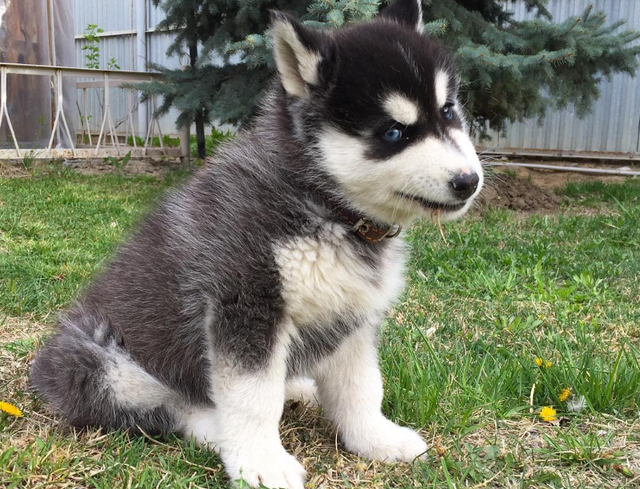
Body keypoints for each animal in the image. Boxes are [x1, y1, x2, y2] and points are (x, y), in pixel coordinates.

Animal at [30, 0, 480, 486]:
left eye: (448, 110)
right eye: (394, 132)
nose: (469, 181)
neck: (326, 208)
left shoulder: (353, 316)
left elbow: (361, 387)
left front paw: (376, 439)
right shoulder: (245, 305)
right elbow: (252, 399)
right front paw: (260, 462)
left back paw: (298, 387)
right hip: (98, 361)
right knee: (170, 405)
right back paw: (215, 428)